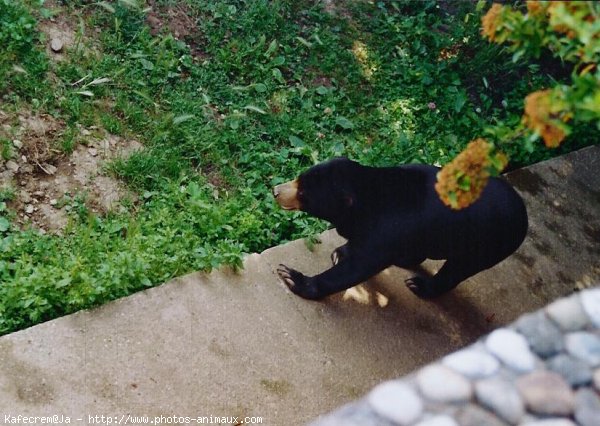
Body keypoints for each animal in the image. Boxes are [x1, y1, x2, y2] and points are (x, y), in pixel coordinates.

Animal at [274, 156, 528, 300]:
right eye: (299, 177)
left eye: (303, 193)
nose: (275, 190)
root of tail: (524, 216)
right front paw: (340, 252)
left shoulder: (387, 231)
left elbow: (358, 267)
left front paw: (293, 277)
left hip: (485, 246)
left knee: (456, 270)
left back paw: (420, 286)